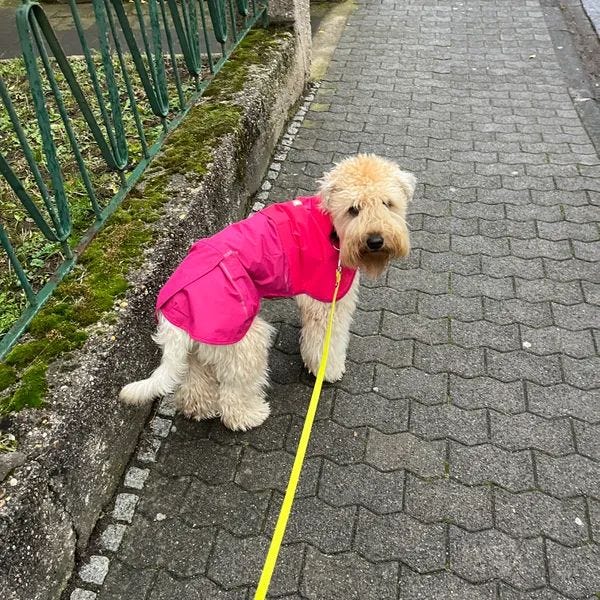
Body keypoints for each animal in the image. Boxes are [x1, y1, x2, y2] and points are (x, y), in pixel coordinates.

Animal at [119, 152, 414, 428]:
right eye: (354, 209)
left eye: (387, 203)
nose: (375, 240)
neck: (331, 228)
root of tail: (175, 307)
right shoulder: (327, 302)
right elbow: (325, 342)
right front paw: (327, 369)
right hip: (244, 342)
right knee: (233, 396)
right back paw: (250, 416)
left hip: (196, 349)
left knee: (193, 385)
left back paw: (200, 409)